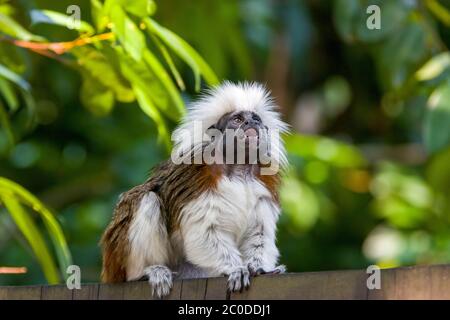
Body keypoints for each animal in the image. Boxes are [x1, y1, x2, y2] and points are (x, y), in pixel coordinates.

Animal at [100, 82, 288, 298]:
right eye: (238, 119)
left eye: (255, 119)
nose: (251, 123)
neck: (238, 168)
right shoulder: (197, 177)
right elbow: (204, 233)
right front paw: (235, 269)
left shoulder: (264, 183)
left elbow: (259, 232)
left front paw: (259, 269)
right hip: (118, 260)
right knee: (147, 199)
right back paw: (147, 272)